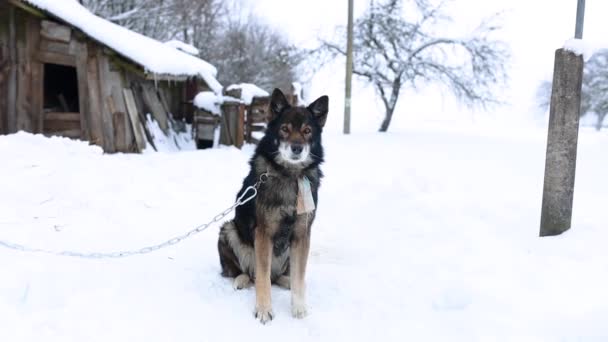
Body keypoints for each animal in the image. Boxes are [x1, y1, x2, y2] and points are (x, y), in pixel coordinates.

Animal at [216, 87, 326, 324]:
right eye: (284, 129)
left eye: (307, 131)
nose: (296, 148)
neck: (290, 175)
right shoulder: (263, 234)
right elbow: (263, 277)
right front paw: (264, 309)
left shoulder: (302, 234)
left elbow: (299, 276)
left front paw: (299, 307)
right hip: (228, 230)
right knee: (247, 273)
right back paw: (240, 280)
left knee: (278, 277)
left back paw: (286, 282)